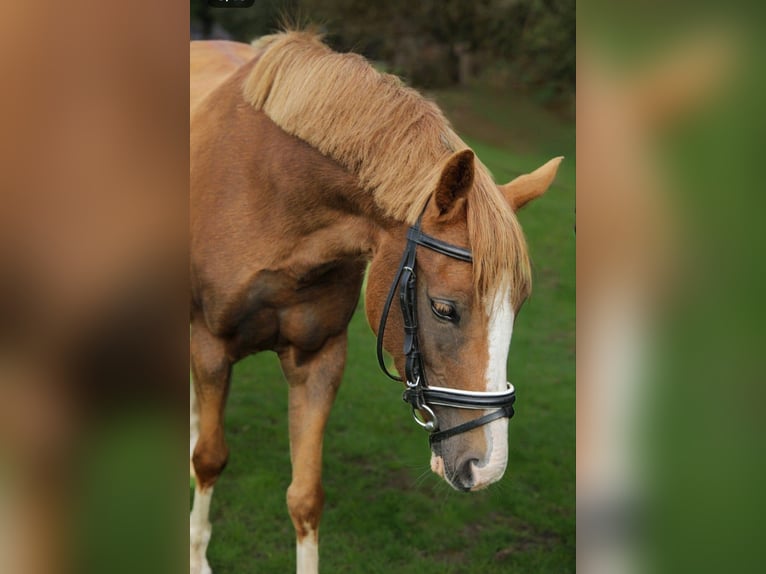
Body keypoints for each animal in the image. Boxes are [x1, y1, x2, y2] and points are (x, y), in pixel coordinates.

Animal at [189, 30, 562, 574]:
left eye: (516, 309)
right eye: (444, 308)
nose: (487, 466)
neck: (272, 194)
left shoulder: (318, 359)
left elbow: (305, 497)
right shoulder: (211, 347)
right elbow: (209, 459)